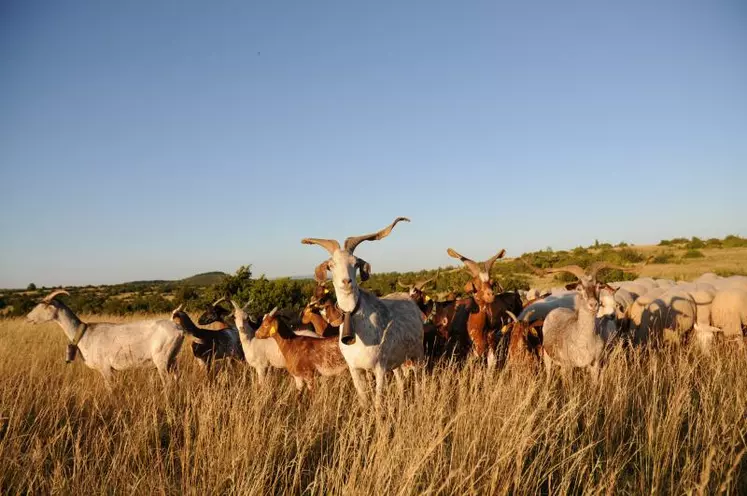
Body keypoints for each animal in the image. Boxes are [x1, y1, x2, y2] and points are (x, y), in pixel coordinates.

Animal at [300, 216, 424, 404]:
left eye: (355, 263)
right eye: (331, 265)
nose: (346, 282)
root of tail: (409, 299)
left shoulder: (379, 368)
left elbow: (378, 402)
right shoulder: (355, 370)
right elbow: (364, 400)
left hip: (416, 354)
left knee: (417, 380)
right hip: (396, 361)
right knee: (401, 381)